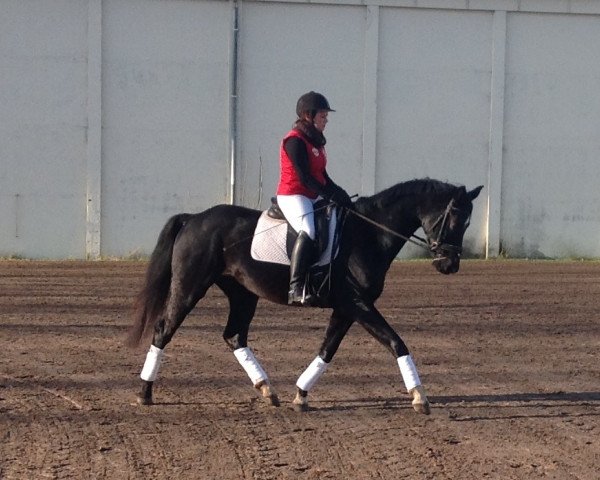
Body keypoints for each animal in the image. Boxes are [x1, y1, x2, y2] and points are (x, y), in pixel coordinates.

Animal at [126, 178, 482, 414]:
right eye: (454, 217)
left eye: (467, 221)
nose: (450, 264)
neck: (367, 233)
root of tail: (193, 219)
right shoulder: (356, 302)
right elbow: (396, 342)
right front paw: (419, 396)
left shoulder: (347, 307)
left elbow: (328, 348)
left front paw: (301, 394)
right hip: (190, 286)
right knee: (163, 330)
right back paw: (145, 393)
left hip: (243, 293)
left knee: (234, 335)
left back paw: (267, 390)